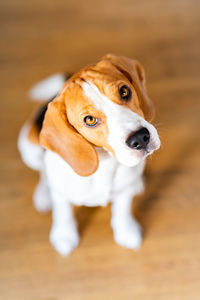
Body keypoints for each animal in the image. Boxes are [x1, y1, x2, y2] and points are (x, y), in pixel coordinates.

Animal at [18, 54, 160, 255]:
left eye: (124, 91)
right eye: (90, 120)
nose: (140, 138)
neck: (105, 163)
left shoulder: (123, 191)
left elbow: (122, 210)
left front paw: (126, 231)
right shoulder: (61, 195)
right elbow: (63, 214)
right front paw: (64, 236)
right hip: (27, 147)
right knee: (43, 173)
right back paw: (43, 194)